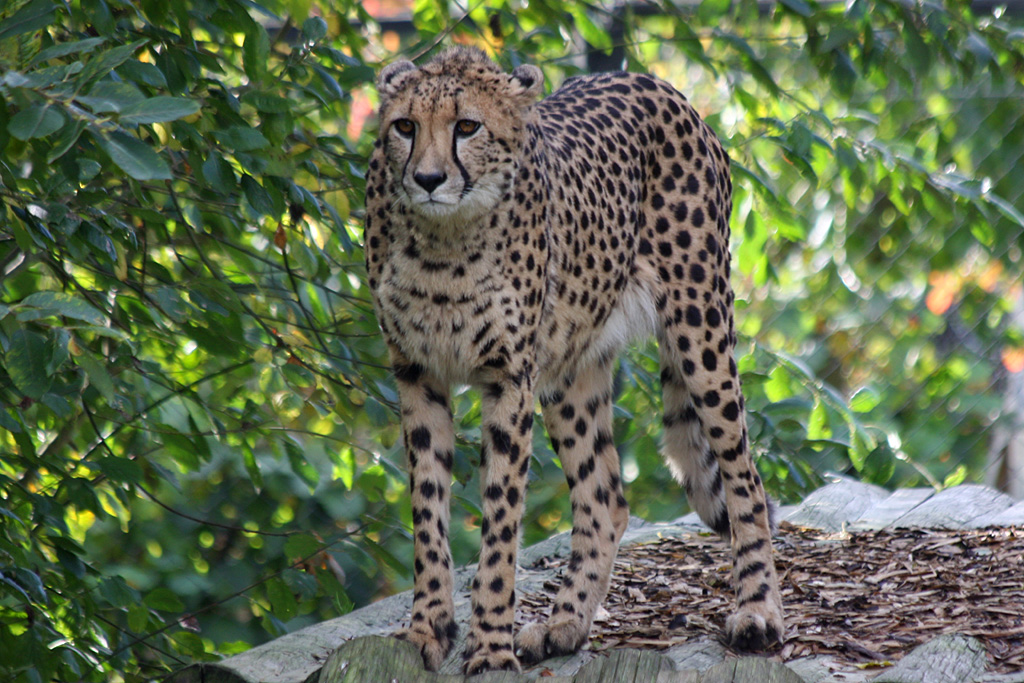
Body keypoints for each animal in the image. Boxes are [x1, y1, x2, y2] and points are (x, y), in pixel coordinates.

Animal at [363, 46, 784, 675]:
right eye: (405, 127)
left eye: (467, 127)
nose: (428, 179)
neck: (444, 241)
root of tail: (656, 84)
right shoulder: (417, 373)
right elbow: (427, 511)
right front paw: (427, 630)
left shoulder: (509, 376)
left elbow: (500, 520)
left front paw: (490, 647)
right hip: (570, 367)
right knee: (604, 498)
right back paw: (564, 624)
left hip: (700, 325)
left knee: (744, 476)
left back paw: (758, 612)